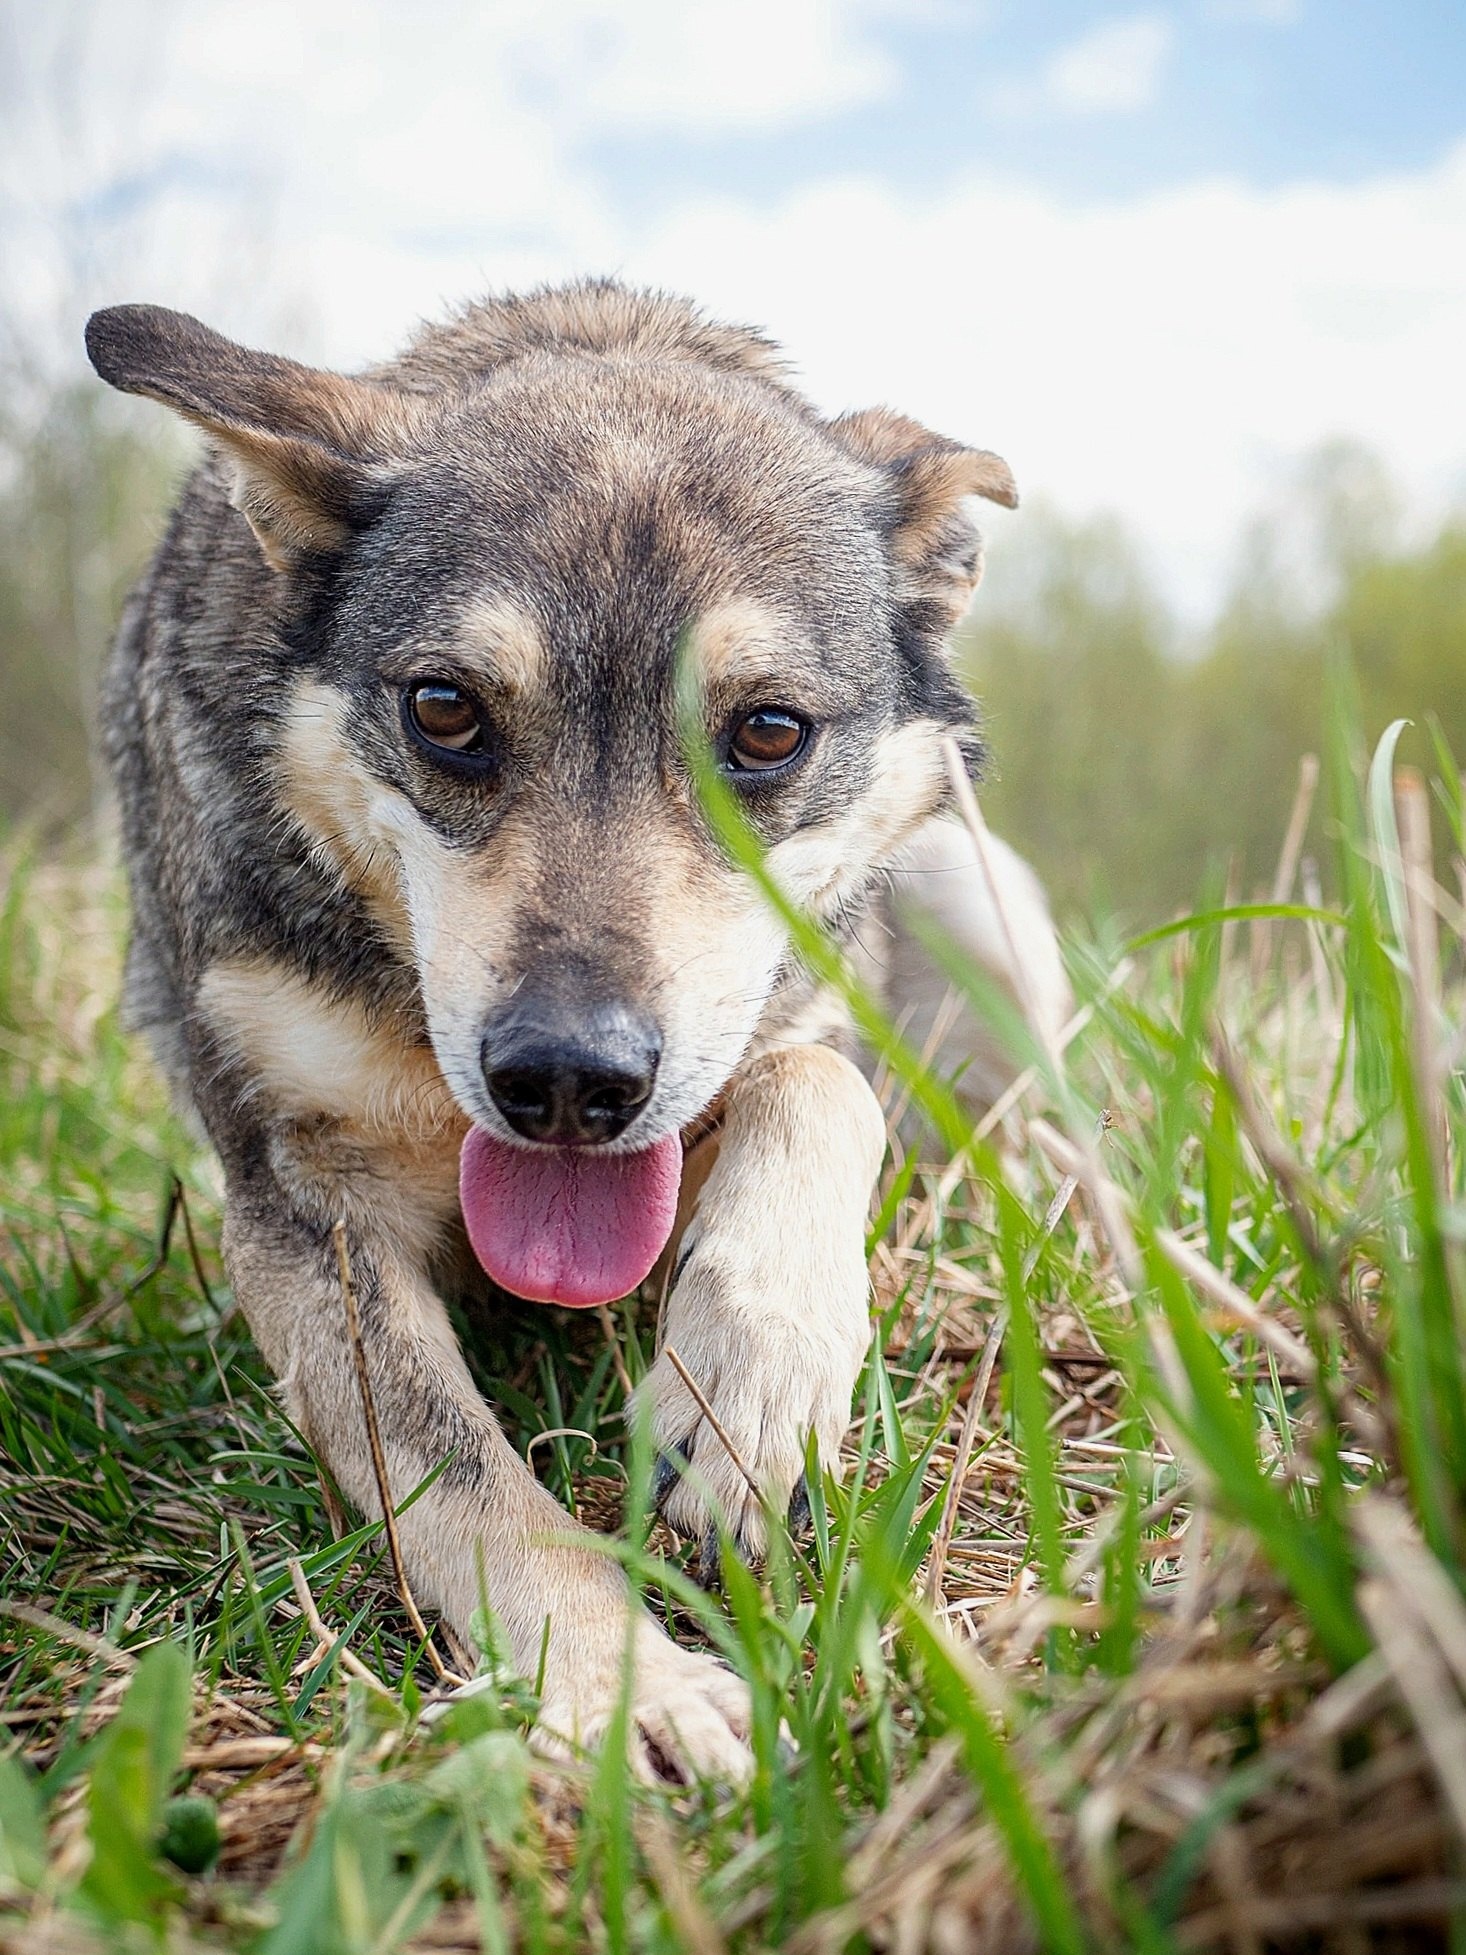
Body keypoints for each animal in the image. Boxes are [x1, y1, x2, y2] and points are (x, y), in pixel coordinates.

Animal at [88, 279, 1071, 1790]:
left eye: (767, 732)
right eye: (444, 708)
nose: (563, 1080)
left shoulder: (793, 1034)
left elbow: (814, 1089)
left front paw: (742, 1396)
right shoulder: (301, 1201)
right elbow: (471, 1485)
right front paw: (625, 1691)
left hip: (982, 889)